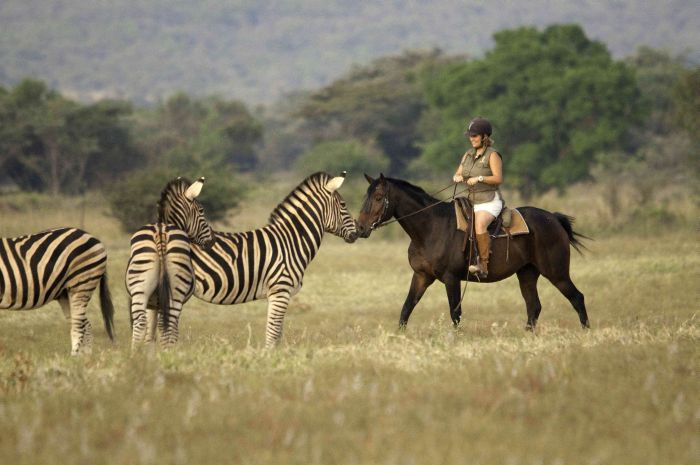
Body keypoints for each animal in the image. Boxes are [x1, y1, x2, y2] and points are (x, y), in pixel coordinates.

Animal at [125, 178, 213, 348]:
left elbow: (150, 334)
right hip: (176, 291)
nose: (213, 240)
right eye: (201, 211)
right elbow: (169, 330)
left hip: (140, 287)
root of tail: (161, 232)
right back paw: (168, 352)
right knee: (169, 325)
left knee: (140, 323)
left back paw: (134, 353)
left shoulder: (153, 303)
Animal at [190, 172, 358, 346]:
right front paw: (269, 354)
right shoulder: (280, 290)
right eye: (343, 204)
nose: (358, 232)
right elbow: (273, 333)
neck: (291, 240)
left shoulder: (281, 293)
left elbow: (278, 335)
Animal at [356, 174, 592, 330]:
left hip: (556, 273)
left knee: (577, 298)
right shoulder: (421, 276)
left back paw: (585, 332)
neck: (431, 228)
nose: (360, 228)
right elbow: (406, 309)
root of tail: (553, 219)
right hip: (527, 273)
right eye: (366, 196)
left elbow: (455, 313)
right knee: (534, 307)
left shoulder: (451, 278)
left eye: (378, 197)